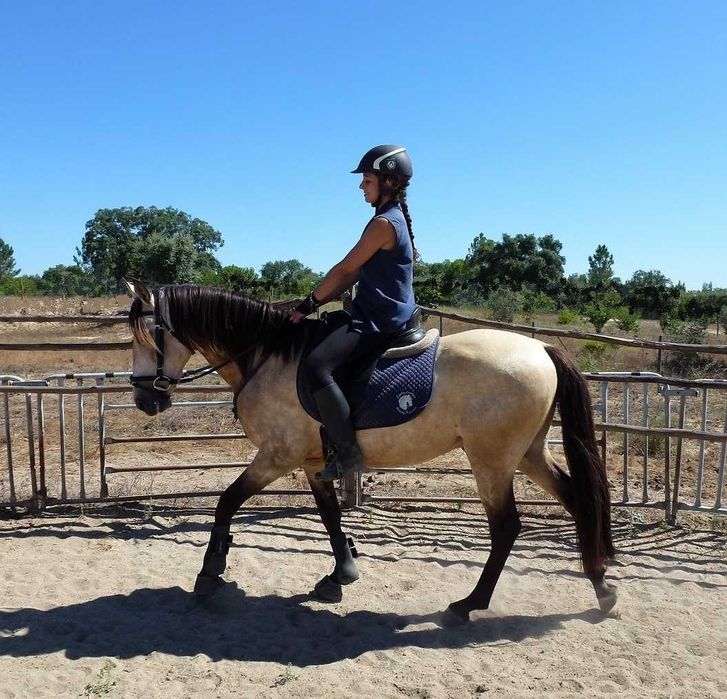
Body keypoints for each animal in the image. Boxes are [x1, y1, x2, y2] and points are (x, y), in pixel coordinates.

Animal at [125, 280, 617, 625]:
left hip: (492, 462)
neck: (267, 357)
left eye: (146, 337)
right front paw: (340, 575)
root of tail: (542, 347)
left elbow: (227, 501)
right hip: (528, 454)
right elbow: (329, 516)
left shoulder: (278, 455)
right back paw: (602, 588)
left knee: (507, 528)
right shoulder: (312, 461)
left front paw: (210, 572)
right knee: (578, 501)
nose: (145, 400)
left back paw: (468, 605)